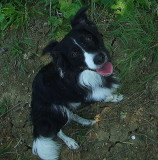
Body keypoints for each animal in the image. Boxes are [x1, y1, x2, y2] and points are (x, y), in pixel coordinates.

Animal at [30, 6, 123, 160]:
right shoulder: (89, 95)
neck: (83, 74)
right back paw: (71, 142)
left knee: (71, 115)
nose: (99, 58)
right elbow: (103, 96)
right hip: (56, 111)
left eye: (89, 38)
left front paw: (115, 97)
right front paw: (113, 98)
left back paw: (86, 121)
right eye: (73, 54)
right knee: (57, 130)